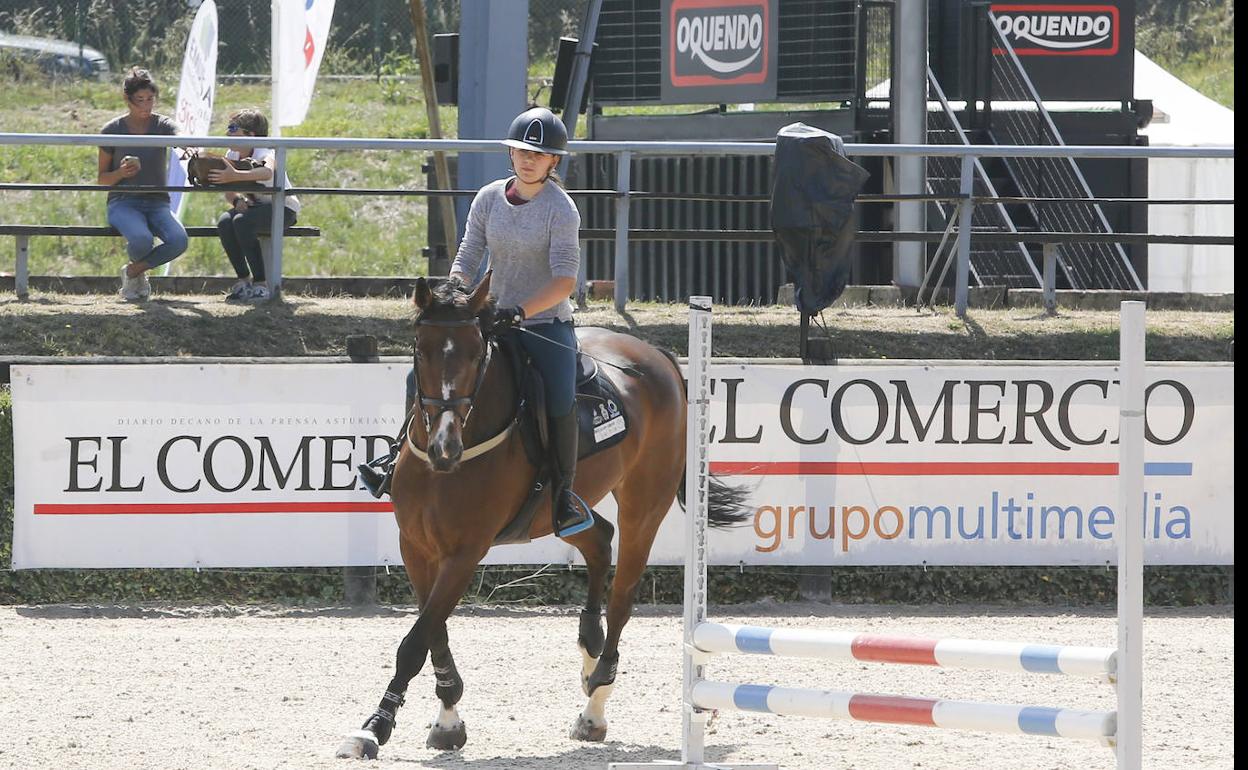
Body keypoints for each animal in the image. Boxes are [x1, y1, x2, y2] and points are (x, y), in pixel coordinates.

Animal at [336, 274, 743, 758]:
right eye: (421, 350)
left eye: (475, 352)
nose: (443, 449)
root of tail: (655, 355)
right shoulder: (415, 547)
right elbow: (433, 632)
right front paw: (448, 719)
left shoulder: (464, 553)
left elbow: (415, 642)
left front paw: (374, 727)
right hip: (556, 514)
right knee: (598, 538)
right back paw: (589, 643)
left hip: (644, 506)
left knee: (622, 594)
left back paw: (595, 703)